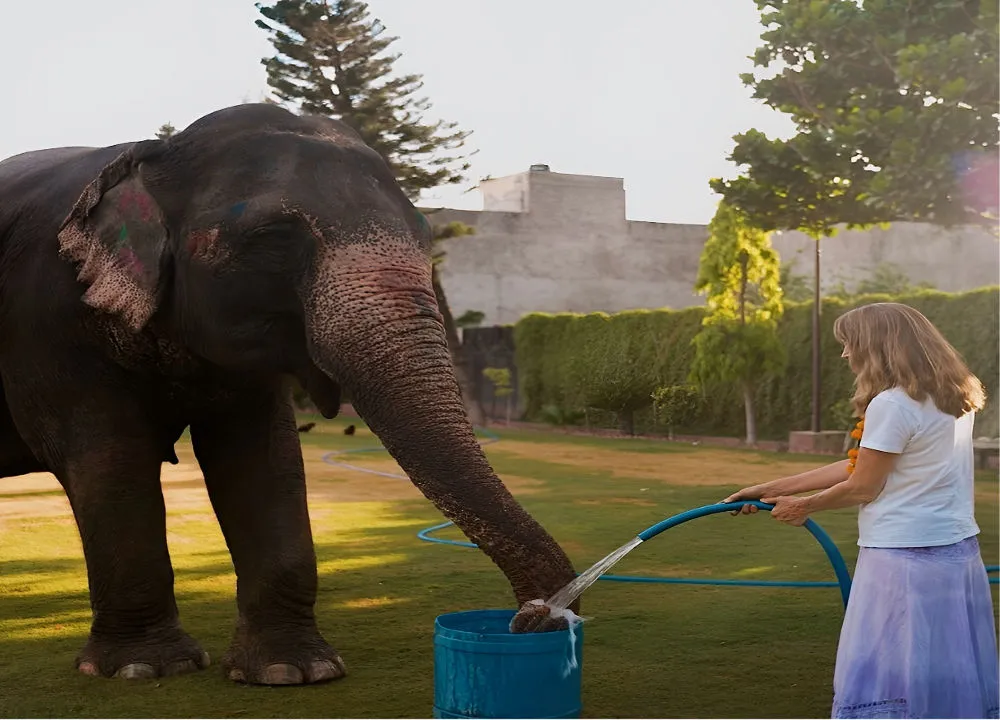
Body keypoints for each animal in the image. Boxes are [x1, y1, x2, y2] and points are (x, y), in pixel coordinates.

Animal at [0, 104, 577, 685]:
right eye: (275, 235)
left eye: (425, 231)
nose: (535, 618)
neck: (150, 153)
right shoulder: (46, 325)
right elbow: (112, 460)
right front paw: (146, 667)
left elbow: (265, 460)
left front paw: (292, 671)